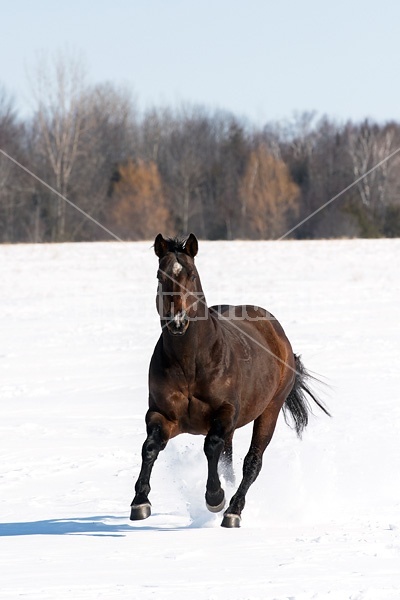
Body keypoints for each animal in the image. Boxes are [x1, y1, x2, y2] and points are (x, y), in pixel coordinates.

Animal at [130, 232, 330, 528]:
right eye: (159, 275)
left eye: (191, 274)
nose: (177, 322)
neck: (190, 362)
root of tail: (277, 333)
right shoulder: (163, 414)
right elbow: (150, 447)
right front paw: (140, 502)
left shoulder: (225, 413)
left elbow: (211, 446)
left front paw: (215, 497)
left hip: (269, 411)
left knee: (252, 462)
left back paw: (233, 511)